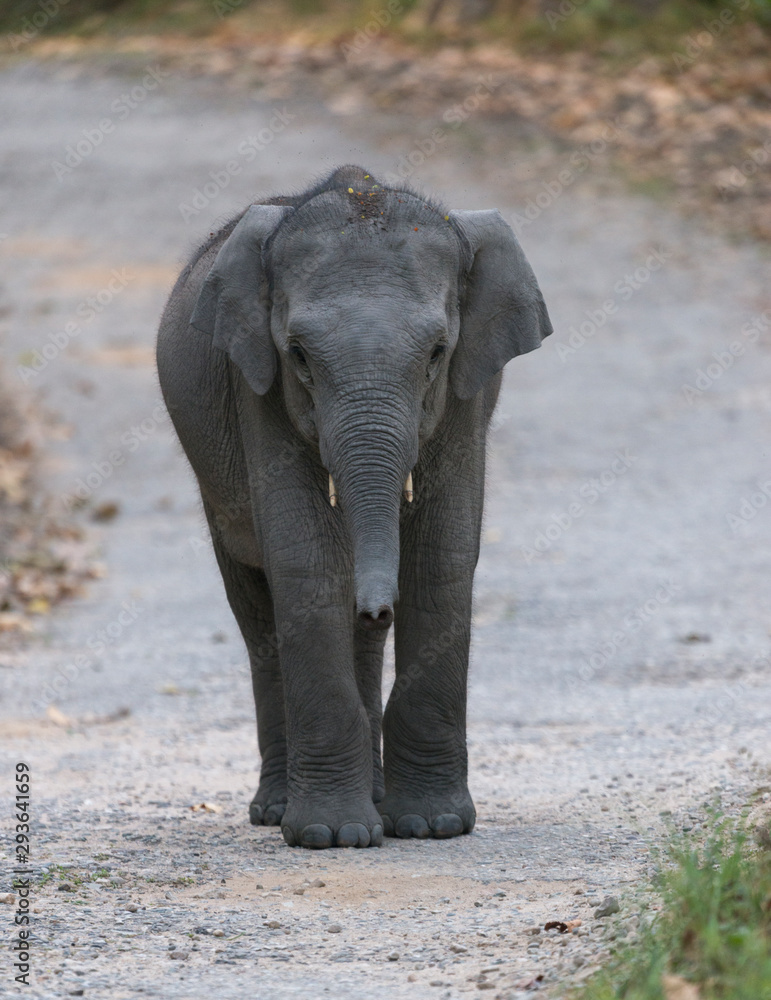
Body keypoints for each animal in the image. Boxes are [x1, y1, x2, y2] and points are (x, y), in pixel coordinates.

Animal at [157, 164, 552, 849]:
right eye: (299, 356)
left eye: (437, 354)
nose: (376, 606)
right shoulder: (254, 386)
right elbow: (308, 561)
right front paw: (329, 836)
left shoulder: (469, 392)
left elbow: (442, 555)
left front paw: (433, 826)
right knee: (257, 612)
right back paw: (279, 809)